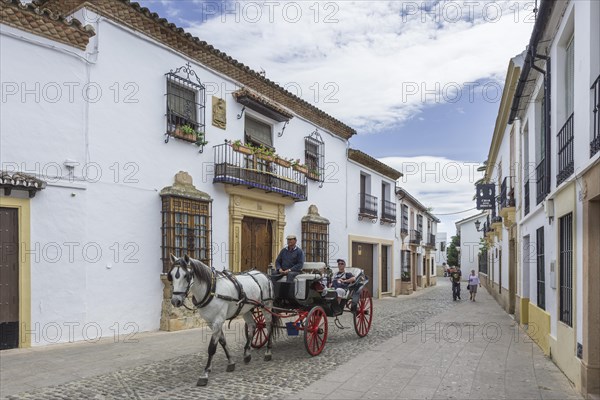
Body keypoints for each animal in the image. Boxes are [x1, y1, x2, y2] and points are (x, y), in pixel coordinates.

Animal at [168, 255, 278, 386]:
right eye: (171, 275)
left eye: (186, 276)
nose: (175, 301)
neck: (212, 290)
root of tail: (263, 273)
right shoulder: (211, 322)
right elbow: (222, 341)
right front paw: (230, 362)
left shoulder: (218, 320)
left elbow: (212, 347)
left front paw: (205, 373)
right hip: (246, 308)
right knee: (252, 325)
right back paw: (247, 354)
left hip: (267, 305)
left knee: (269, 325)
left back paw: (268, 352)